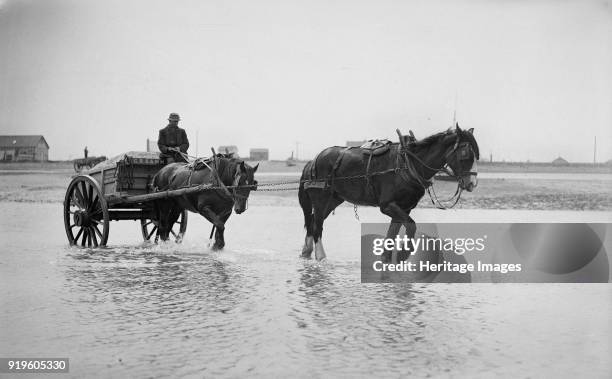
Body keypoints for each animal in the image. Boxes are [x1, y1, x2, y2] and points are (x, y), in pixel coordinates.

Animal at [298, 124, 480, 262]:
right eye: (465, 154)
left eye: (476, 155)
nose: (472, 183)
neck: (408, 164)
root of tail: (312, 161)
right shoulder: (387, 206)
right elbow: (411, 225)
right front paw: (403, 253)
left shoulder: (404, 208)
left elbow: (393, 233)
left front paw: (386, 260)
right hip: (321, 199)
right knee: (317, 224)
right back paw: (321, 257)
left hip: (334, 199)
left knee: (313, 220)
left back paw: (306, 251)